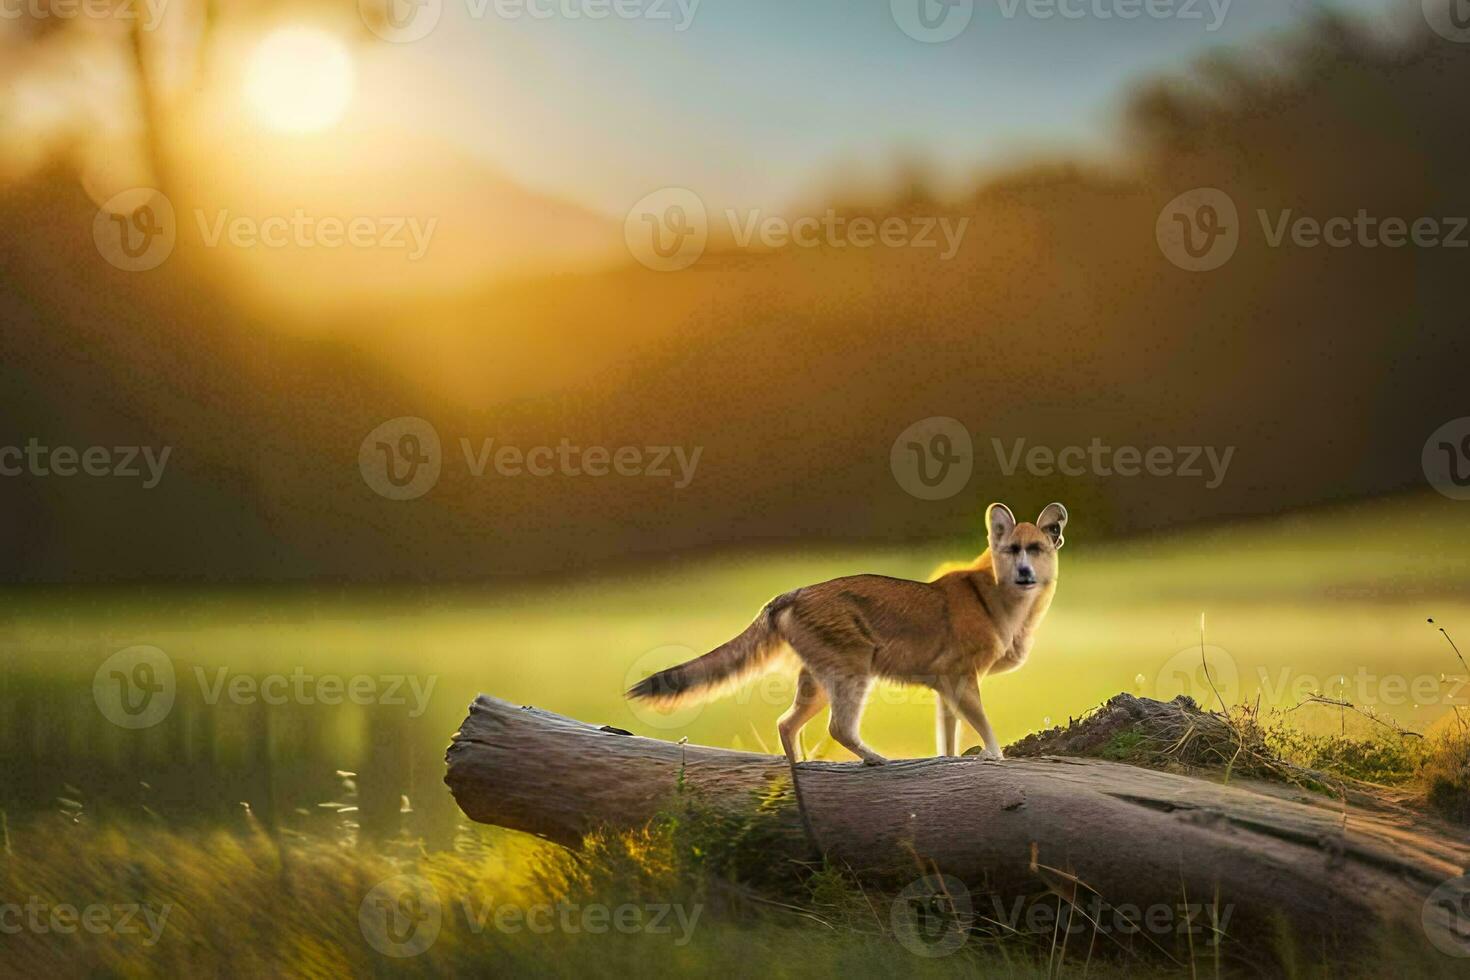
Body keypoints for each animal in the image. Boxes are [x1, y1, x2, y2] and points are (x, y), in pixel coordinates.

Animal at [623, 505, 1070, 764]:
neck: (1001, 598)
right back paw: (875, 759)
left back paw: (800, 768)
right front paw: (995, 756)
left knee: (786, 722)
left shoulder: (948, 684)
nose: (1025, 573)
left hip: (819, 681)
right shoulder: (960, 678)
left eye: (1036, 549)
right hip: (853, 671)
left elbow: (949, 732)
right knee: (837, 728)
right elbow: (982, 724)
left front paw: (953, 757)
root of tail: (793, 591)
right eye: (1012, 550)